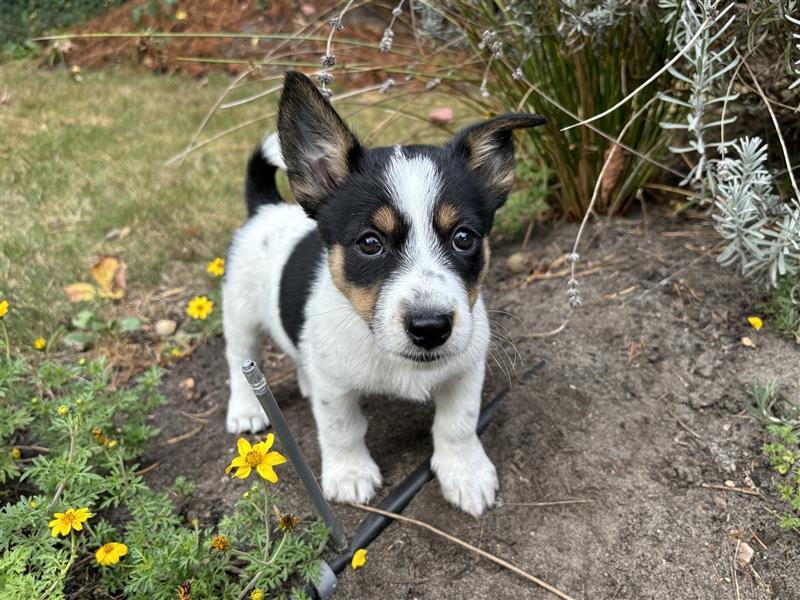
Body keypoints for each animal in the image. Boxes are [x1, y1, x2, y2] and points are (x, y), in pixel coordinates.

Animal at [223, 71, 544, 516]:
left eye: (464, 238)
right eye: (370, 243)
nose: (430, 328)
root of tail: (265, 208)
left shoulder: (466, 368)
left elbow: (458, 424)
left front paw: (464, 472)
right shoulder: (336, 388)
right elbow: (341, 428)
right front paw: (350, 473)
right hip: (241, 315)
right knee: (240, 358)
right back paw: (246, 410)